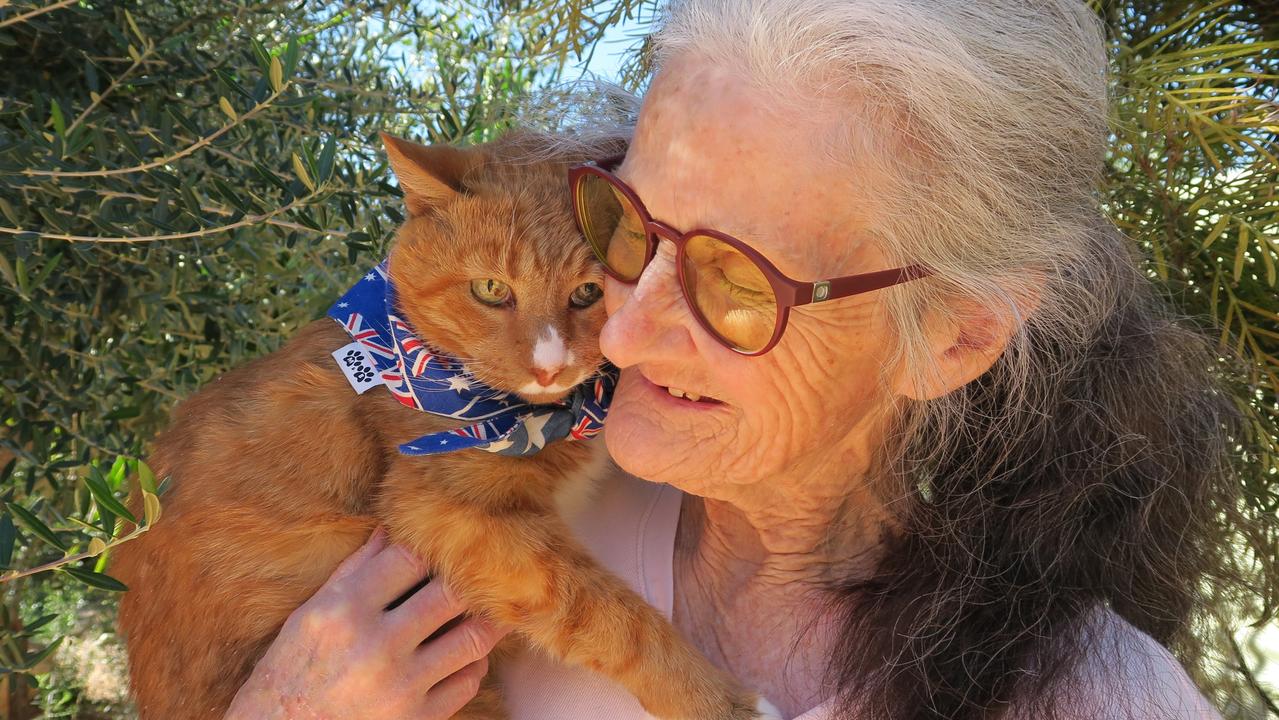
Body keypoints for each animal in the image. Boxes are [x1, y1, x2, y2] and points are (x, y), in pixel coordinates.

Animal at [109, 131, 762, 720]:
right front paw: (717, 702)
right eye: (491, 289)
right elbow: (612, 617)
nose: (549, 366)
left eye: (588, 293)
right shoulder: (450, 516)